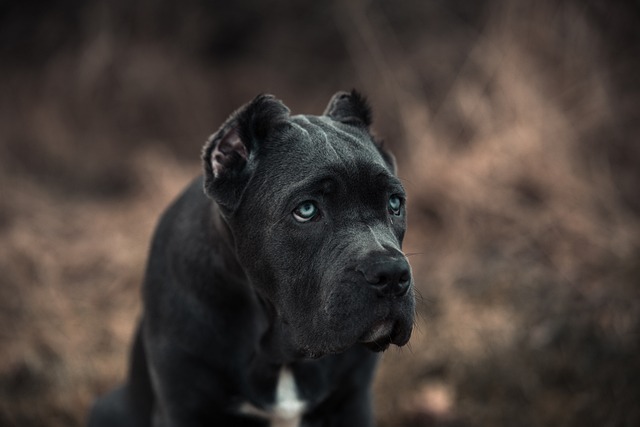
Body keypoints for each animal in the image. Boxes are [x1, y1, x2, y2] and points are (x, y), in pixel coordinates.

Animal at [89, 91, 416, 427]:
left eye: (394, 203)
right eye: (307, 209)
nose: (391, 273)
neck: (280, 352)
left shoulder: (352, 400)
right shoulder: (184, 406)